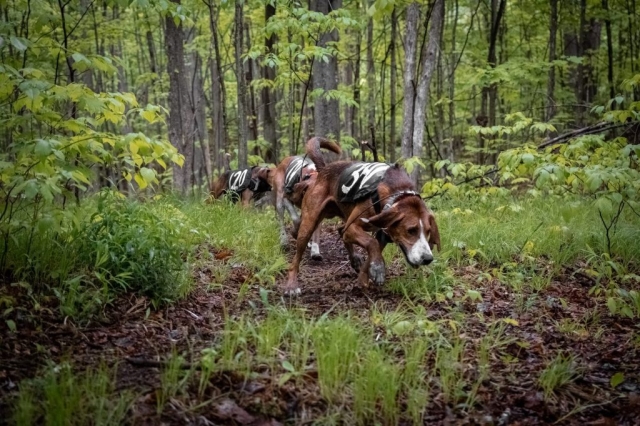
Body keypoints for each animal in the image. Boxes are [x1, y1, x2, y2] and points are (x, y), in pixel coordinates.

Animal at [284, 138, 440, 294]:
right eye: (411, 230)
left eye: (428, 231)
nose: (428, 259)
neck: (397, 194)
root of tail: (323, 169)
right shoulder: (353, 227)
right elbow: (371, 243)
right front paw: (378, 268)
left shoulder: (382, 234)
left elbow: (372, 251)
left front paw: (364, 278)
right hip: (309, 224)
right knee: (297, 257)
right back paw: (291, 285)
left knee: (341, 230)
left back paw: (354, 259)